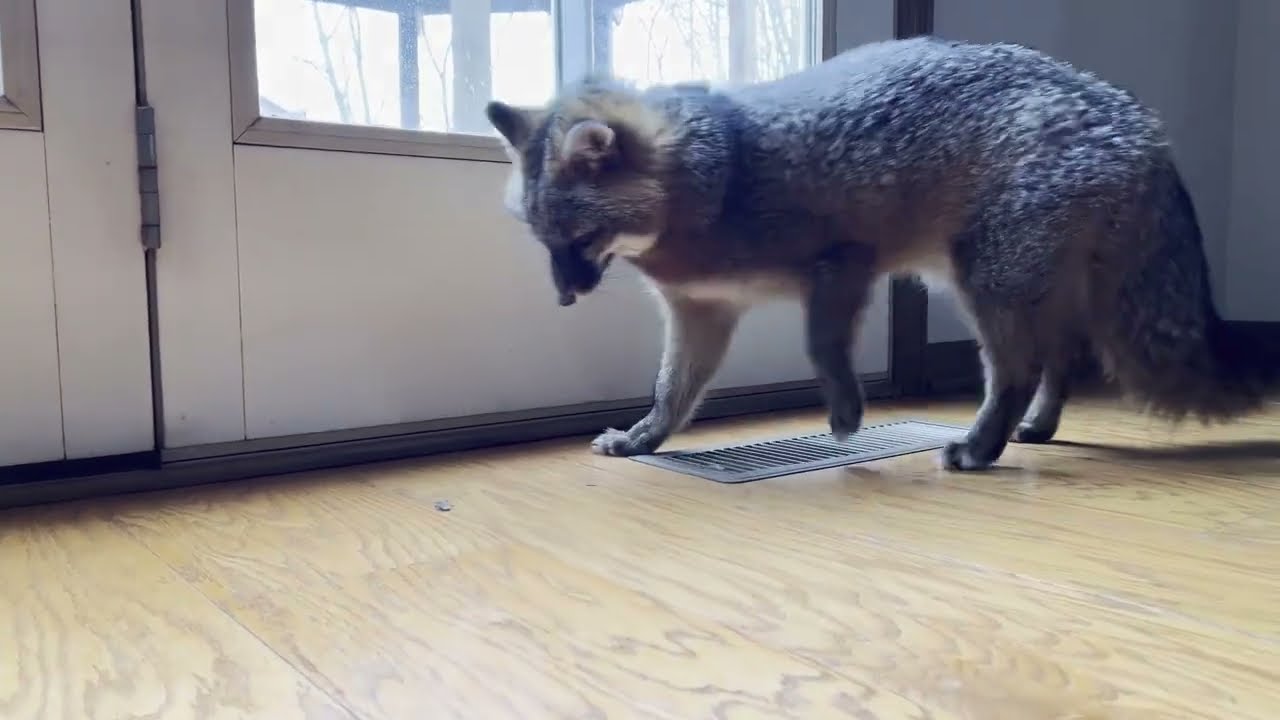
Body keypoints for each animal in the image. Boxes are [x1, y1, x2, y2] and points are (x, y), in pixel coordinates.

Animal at [484, 35, 1278, 471]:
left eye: (579, 240)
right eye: (544, 242)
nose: (564, 296)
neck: (718, 177)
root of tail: (1136, 119)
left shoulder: (844, 263)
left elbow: (820, 346)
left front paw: (844, 412)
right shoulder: (704, 312)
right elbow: (672, 391)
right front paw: (646, 438)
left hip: (983, 282)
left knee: (1018, 368)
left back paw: (981, 446)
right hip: (1028, 284)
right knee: (1065, 357)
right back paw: (1035, 428)